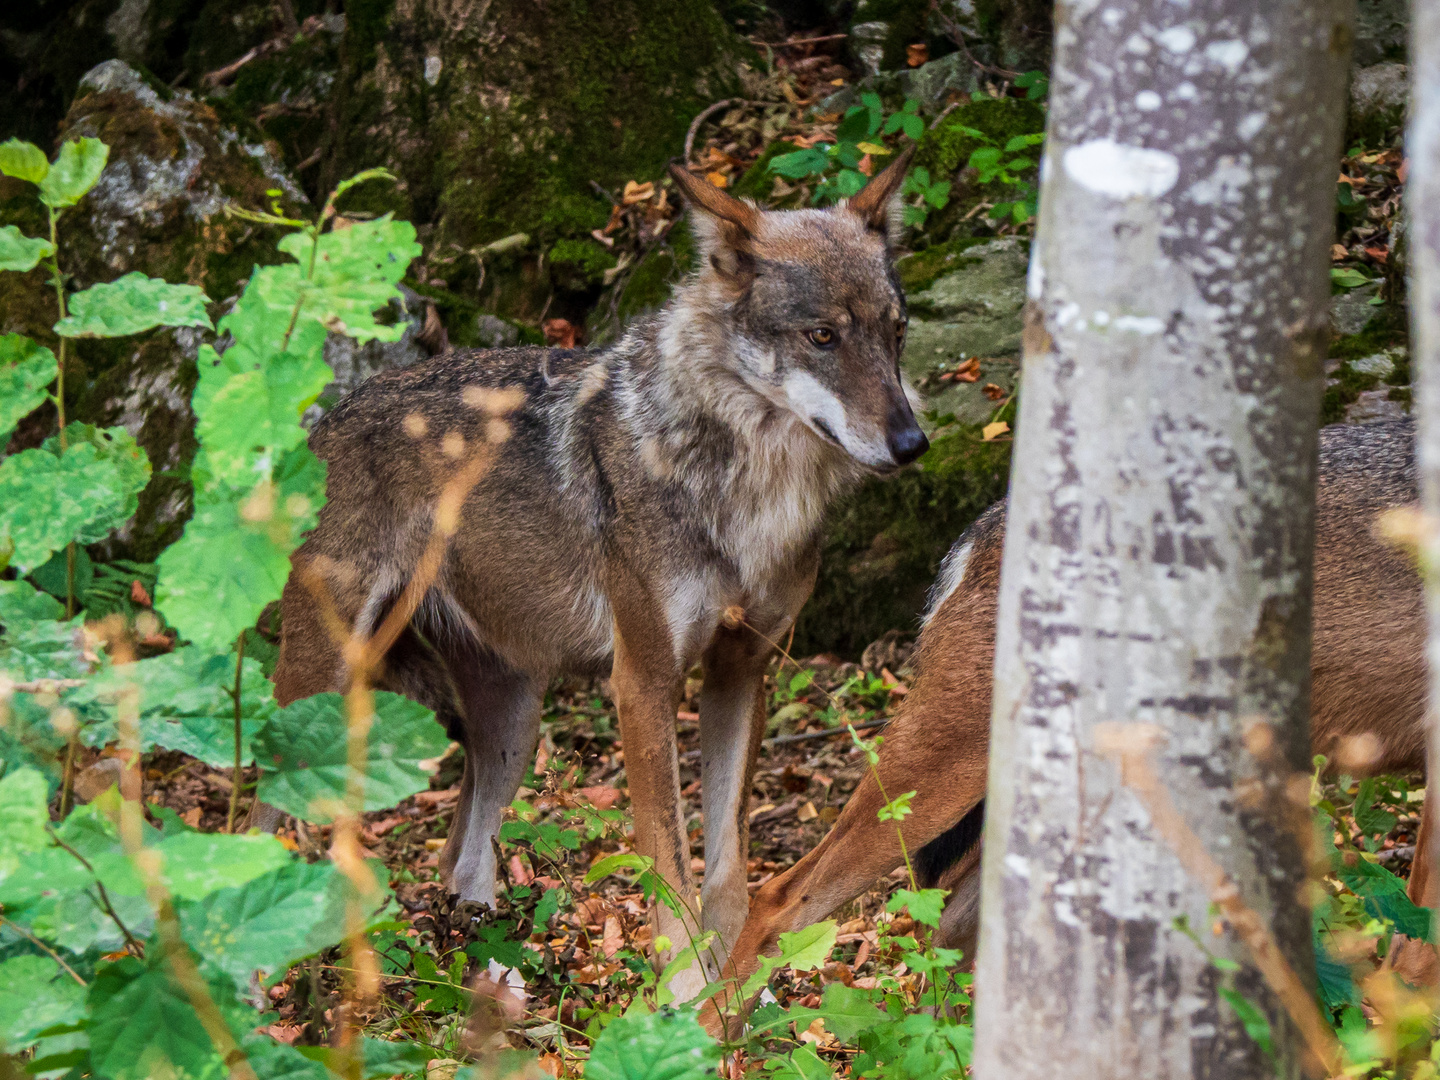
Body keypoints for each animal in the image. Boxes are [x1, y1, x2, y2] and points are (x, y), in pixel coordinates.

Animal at [269, 148, 921, 996]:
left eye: (896, 333)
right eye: (822, 336)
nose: (913, 443)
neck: (748, 489)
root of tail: (326, 419)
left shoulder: (743, 670)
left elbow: (728, 866)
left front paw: (744, 992)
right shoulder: (641, 682)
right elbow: (669, 865)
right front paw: (685, 997)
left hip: (514, 724)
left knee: (460, 860)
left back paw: (496, 994)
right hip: (323, 684)